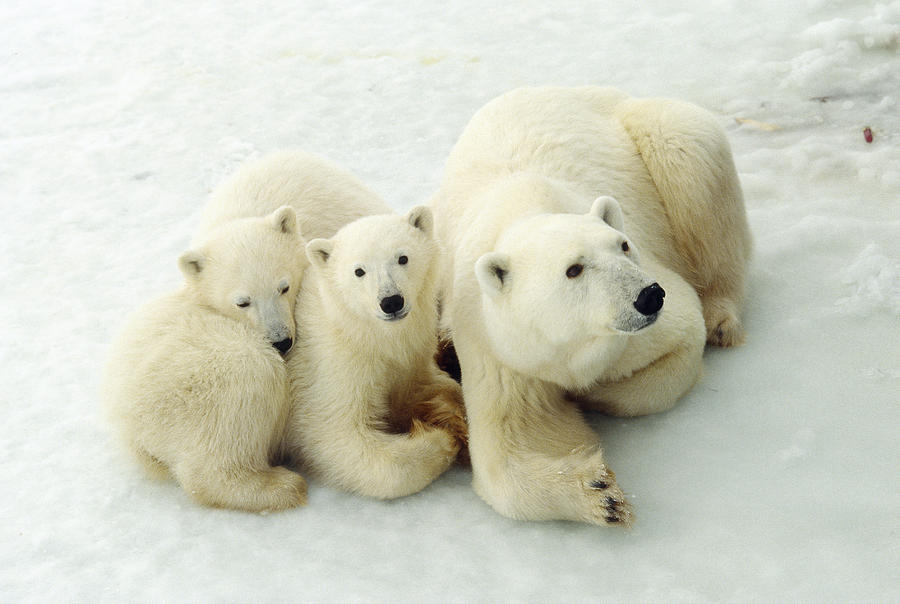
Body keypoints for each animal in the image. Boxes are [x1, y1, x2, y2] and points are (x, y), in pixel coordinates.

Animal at [430, 86, 752, 524]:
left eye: (623, 245)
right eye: (574, 269)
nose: (649, 296)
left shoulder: (636, 325)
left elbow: (680, 340)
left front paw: (592, 395)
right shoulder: (498, 344)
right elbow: (514, 441)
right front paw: (600, 494)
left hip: (659, 136)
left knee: (692, 161)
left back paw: (722, 316)